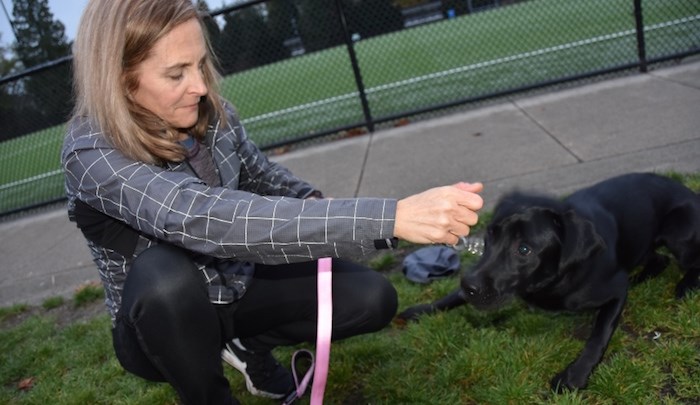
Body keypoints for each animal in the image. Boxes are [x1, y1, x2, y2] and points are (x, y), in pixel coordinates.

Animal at [400, 172, 700, 390]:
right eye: (489, 238)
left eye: (524, 249)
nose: (469, 285)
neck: (546, 285)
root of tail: (691, 193)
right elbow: (451, 298)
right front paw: (421, 310)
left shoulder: (614, 291)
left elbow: (597, 338)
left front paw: (575, 375)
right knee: (659, 260)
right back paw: (640, 277)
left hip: (678, 231)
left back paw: (684, 285)